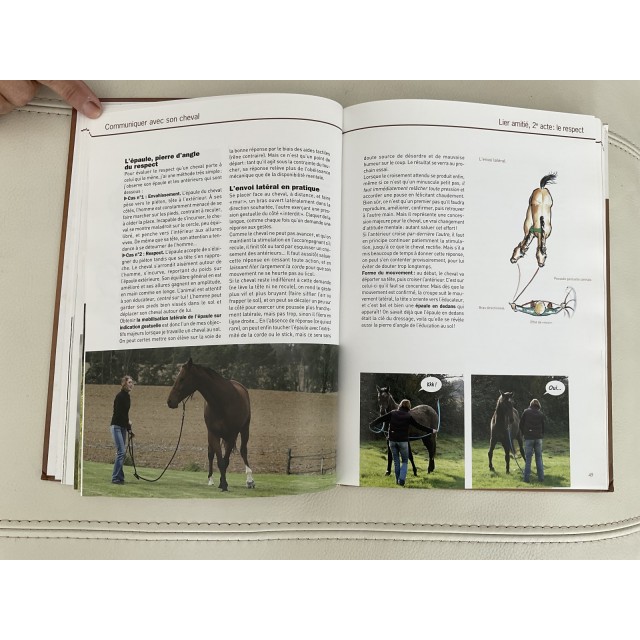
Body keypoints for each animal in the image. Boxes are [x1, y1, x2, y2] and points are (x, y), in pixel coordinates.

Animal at [167, 358, 254, 491]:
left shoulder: (232, 435)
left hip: (245, 430)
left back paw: (249, 480)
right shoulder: (213, 434)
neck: (222, 402)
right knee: (211, 454)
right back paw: (212, 480)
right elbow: (219, 460)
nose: (170, 401)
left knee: (243, 450)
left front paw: (224, 484)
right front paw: (222, 484)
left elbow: (225, 460)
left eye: (182, 378)